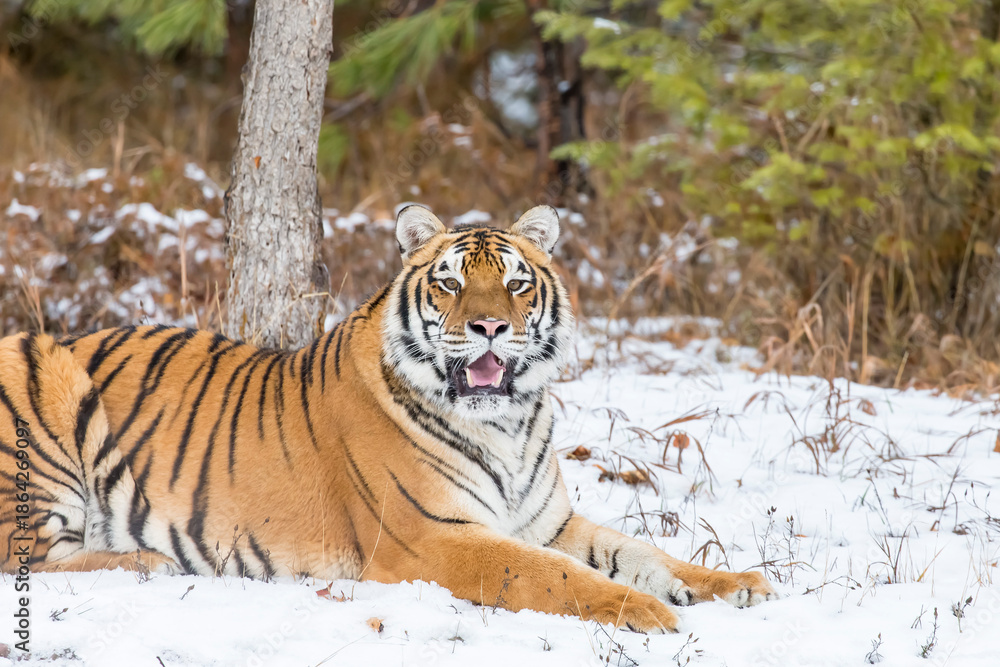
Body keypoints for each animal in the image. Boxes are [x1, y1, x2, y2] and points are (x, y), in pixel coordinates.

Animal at [0, 205, 776, 633]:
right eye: (451, 281)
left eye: (517, 283)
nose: (491, 327)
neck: (508, 424)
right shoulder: (435, 538)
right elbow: (556, 576)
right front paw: (645, 611)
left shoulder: (546, 520)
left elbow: (642, 550)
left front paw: (732, 584)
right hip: (44, 388)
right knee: (29, 557)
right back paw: (151, 559)